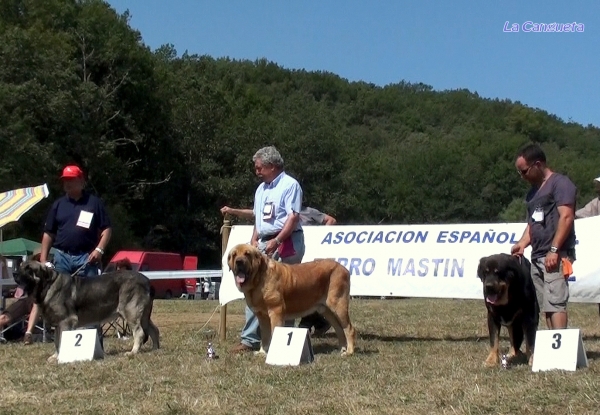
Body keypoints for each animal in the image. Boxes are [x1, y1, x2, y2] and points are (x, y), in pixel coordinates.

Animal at [16, 262, 161, 362]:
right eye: (21, 266)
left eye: (28, 269)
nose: (14, 274)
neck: (48, 284)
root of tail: (148, 281)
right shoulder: (58, 324)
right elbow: (57, 341)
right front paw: (55, 356)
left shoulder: (66, 321)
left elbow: (61, 340)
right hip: (144, 315)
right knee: (153, 329)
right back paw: (155, 349)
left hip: (130, 311)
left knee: (140, 332)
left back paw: (133, 352)